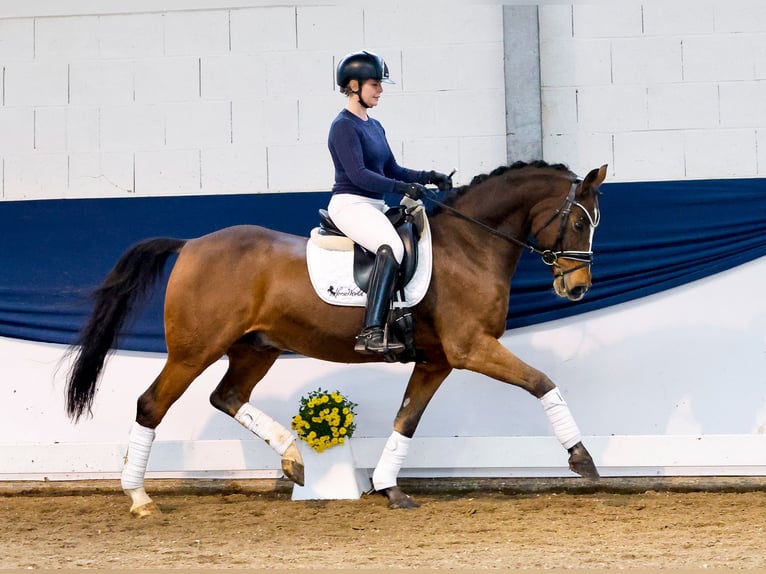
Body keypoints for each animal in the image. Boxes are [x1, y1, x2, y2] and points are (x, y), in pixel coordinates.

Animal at [64, 160, 608, 516]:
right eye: (578, 221)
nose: (577, 288)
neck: (470, 247)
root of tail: (192, 244)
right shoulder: (472, 348)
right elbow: (542, 382)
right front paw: (582, 459)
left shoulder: (437, 360)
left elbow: (406, 420)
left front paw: (389, 489)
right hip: (194, 350)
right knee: (151, 404)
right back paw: (140, 499)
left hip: (255, 349)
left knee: (227, 396)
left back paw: (292, 460)